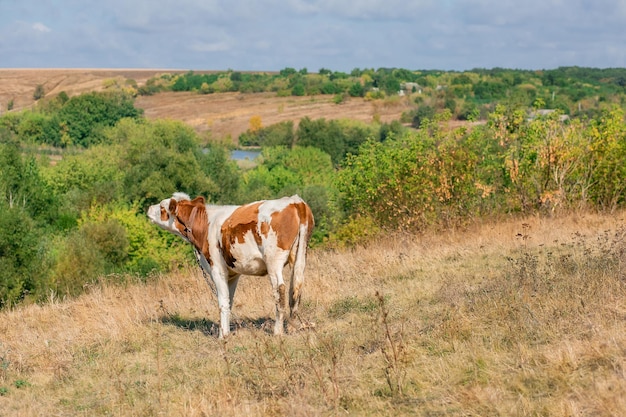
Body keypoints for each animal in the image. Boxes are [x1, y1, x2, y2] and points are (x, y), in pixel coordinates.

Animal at [146, 193, 312, 336]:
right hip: (300, 255)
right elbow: (229, 300)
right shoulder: (233, 274)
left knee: (280, 291)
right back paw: (291, 327)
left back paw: (278, 331)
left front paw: (223, 335)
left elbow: (222, 302)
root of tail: (295, 201)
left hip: (273, 260)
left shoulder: (217, 269)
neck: (205, 224)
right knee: (296, 289)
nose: (148, 208)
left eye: (162, 207)